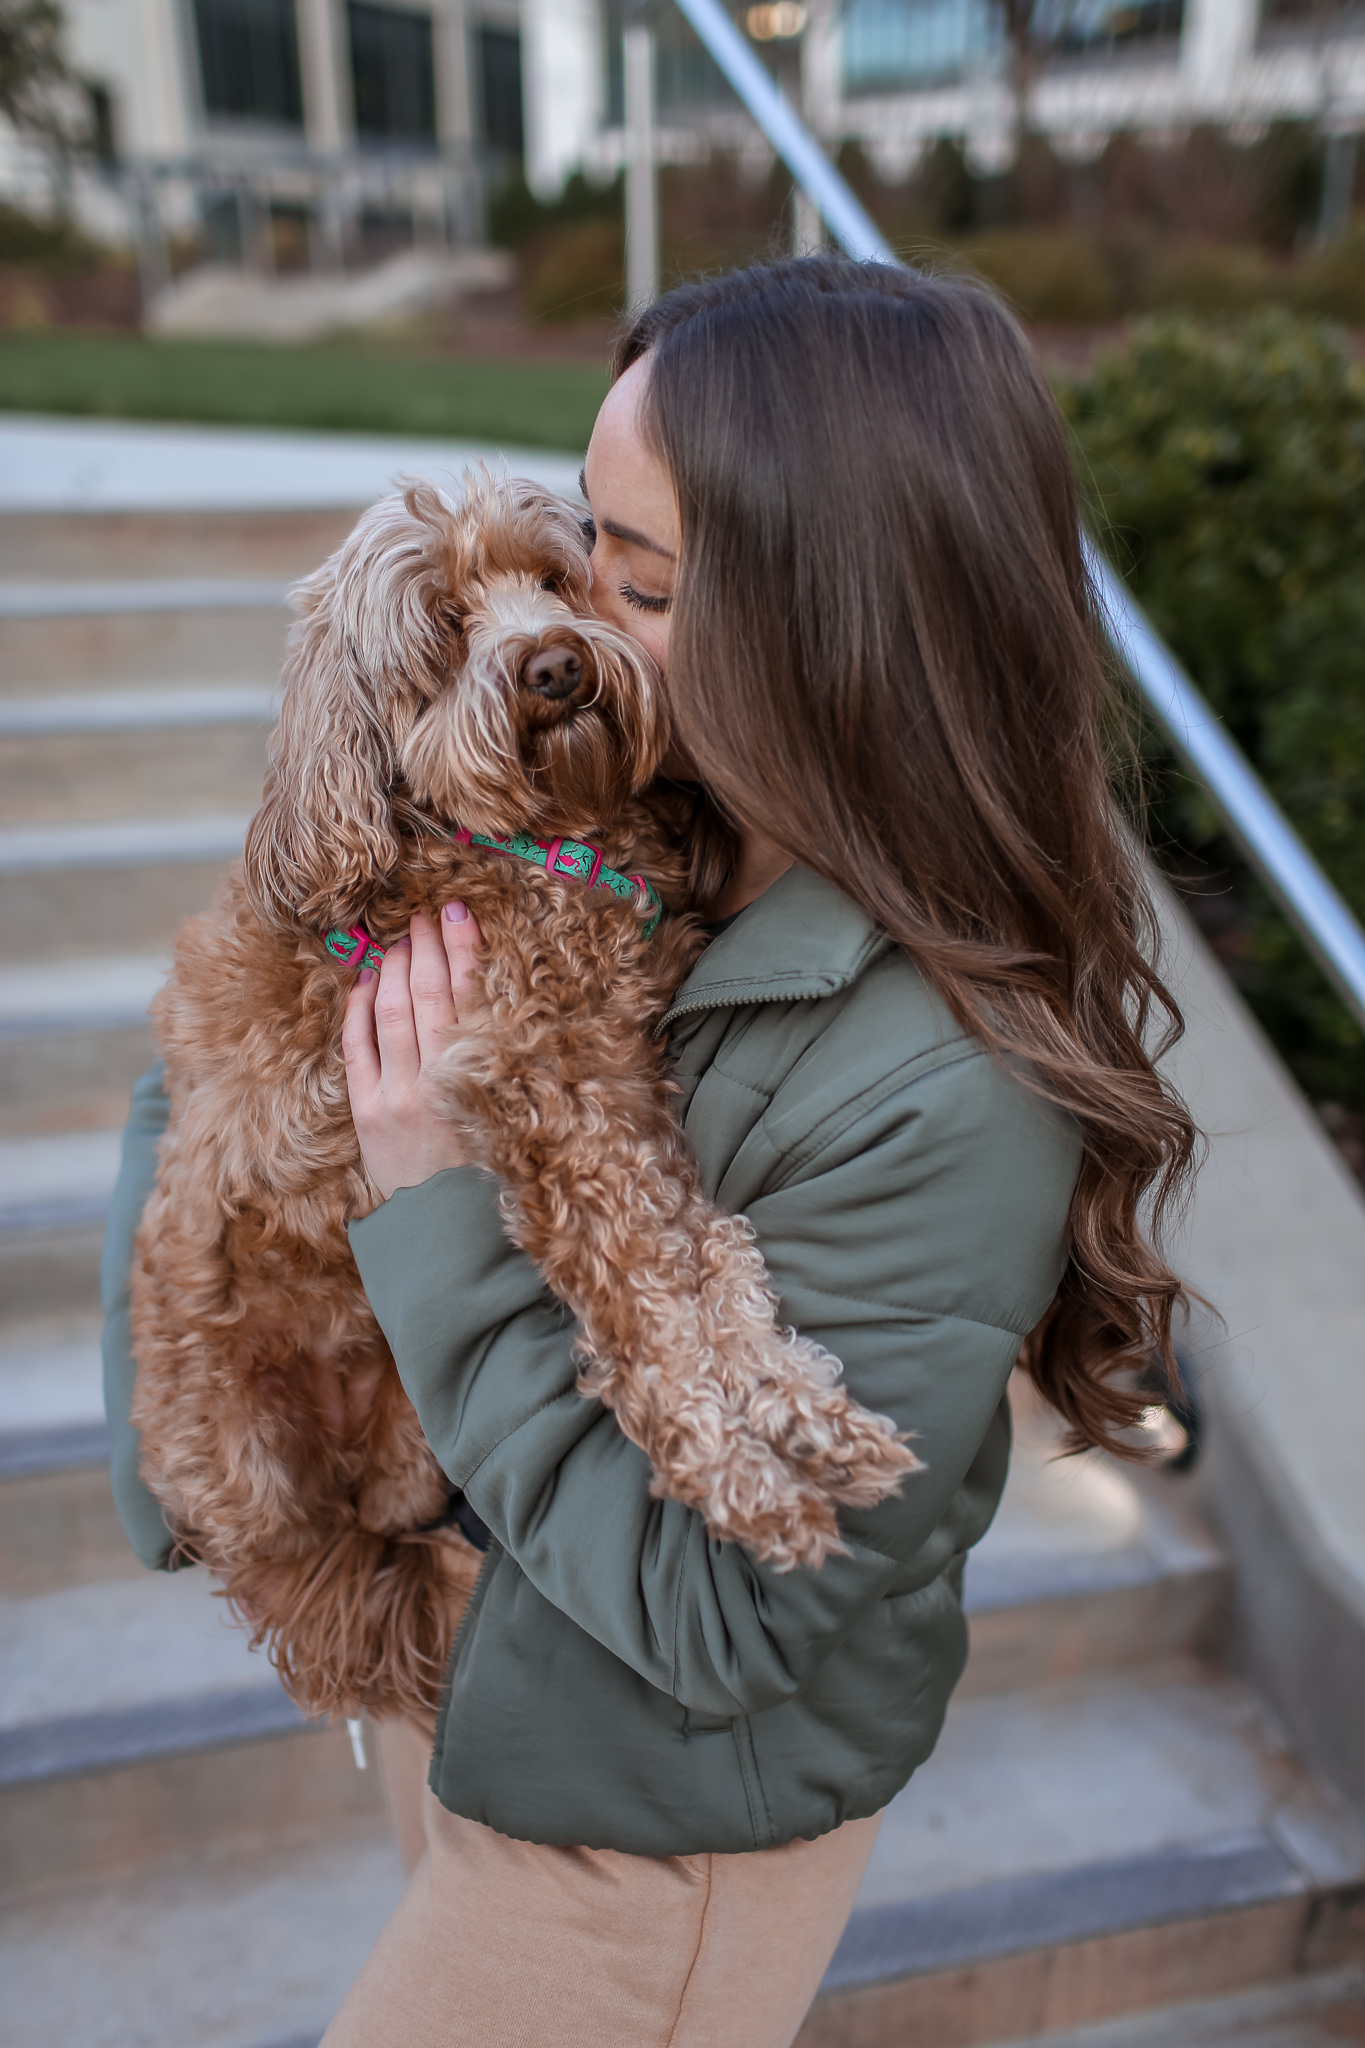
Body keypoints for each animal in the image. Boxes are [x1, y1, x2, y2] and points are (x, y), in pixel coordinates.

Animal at [130, 475, 916, 1728]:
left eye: (556, 581)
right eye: (446, 624)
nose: (555, 664)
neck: (532, 849)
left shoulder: (622, 1090)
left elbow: (709, 1257)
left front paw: (802, 1410)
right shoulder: (540, 1104)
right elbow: (646, 1301)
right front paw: (745, 1472)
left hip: (405, 1428)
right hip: (249, 1456)